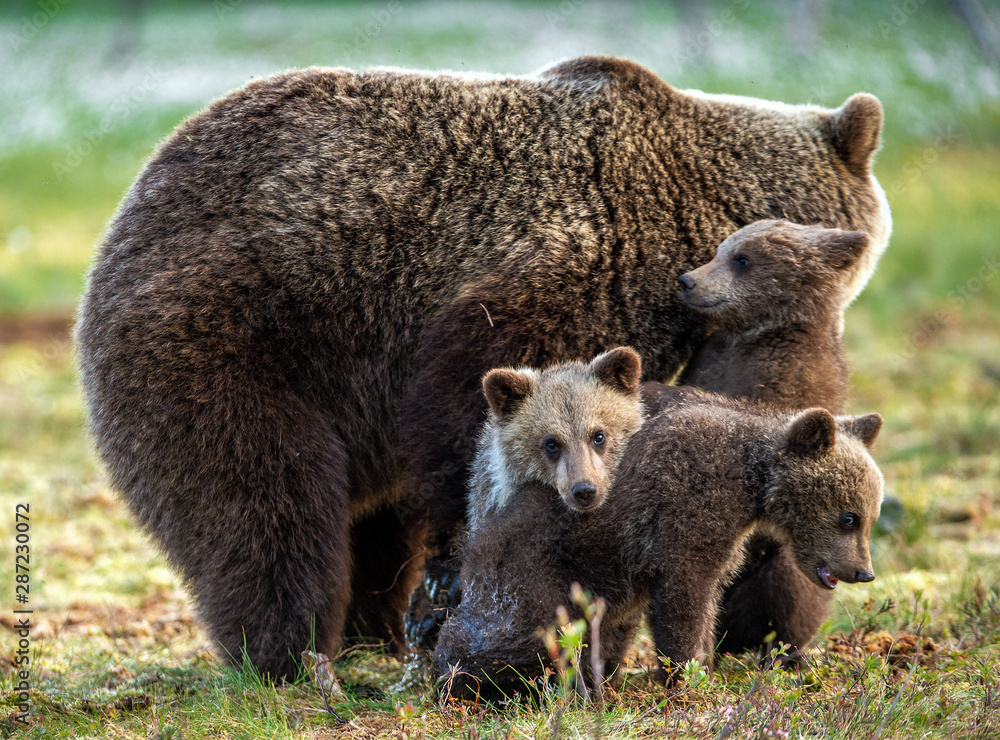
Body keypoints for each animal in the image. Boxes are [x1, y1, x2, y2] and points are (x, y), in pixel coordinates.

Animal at [78, 55, 892, 680]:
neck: (694, 207)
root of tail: (135, 197)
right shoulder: (569, 264)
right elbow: (476, 402)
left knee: (368, 517)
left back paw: (376, 628)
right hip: (239, 329)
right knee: (264, 501)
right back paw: (296, 653)